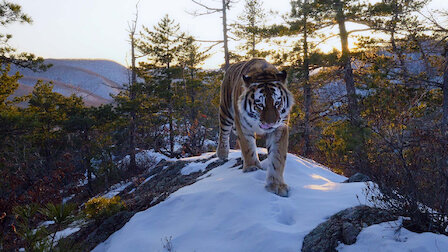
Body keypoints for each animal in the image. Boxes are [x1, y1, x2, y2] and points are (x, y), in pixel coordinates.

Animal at [216, 58, 294, 197]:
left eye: (277, 102)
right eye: (259, 105)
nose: (271, 123)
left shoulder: (280, 127)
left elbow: (277, 157)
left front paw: (276, 185)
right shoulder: (242, 125)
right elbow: (248, 147)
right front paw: (252, 167)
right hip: (226, 111)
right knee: (223, 132)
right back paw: (222, 153)